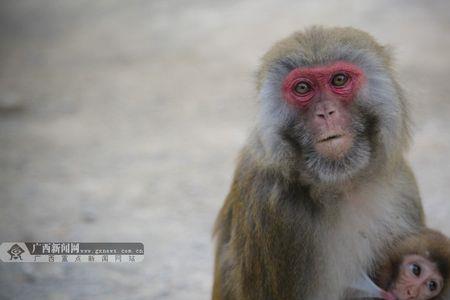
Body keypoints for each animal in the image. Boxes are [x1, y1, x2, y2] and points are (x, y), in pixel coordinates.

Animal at [212, 26, 426, 300]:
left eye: (339, 80)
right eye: (303, 87)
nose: (325, 112)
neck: (342, 185)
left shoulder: (403, 187)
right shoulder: (269, 205)